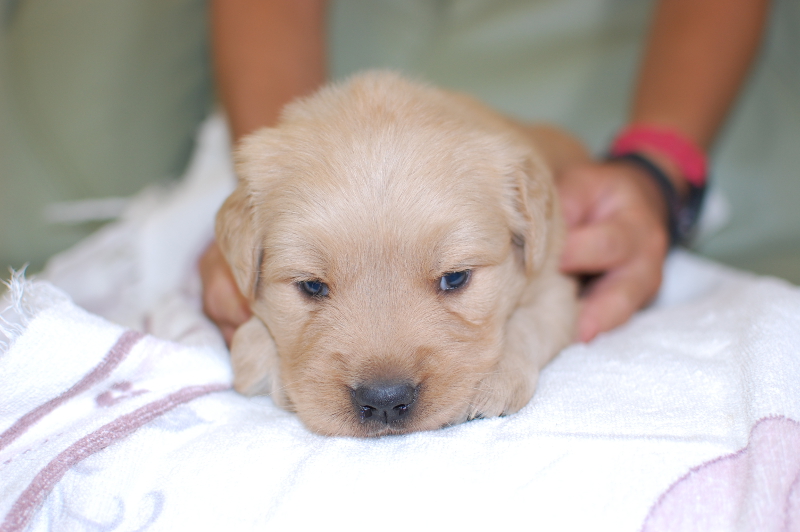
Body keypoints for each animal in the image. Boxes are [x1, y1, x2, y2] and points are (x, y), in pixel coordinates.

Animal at [216, 71, 584, 436]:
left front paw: (497, 378)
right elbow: (245, 347)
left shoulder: (553, 284)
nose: (384, 400)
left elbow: (528, 322)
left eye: (455, 278)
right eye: (312, 286)